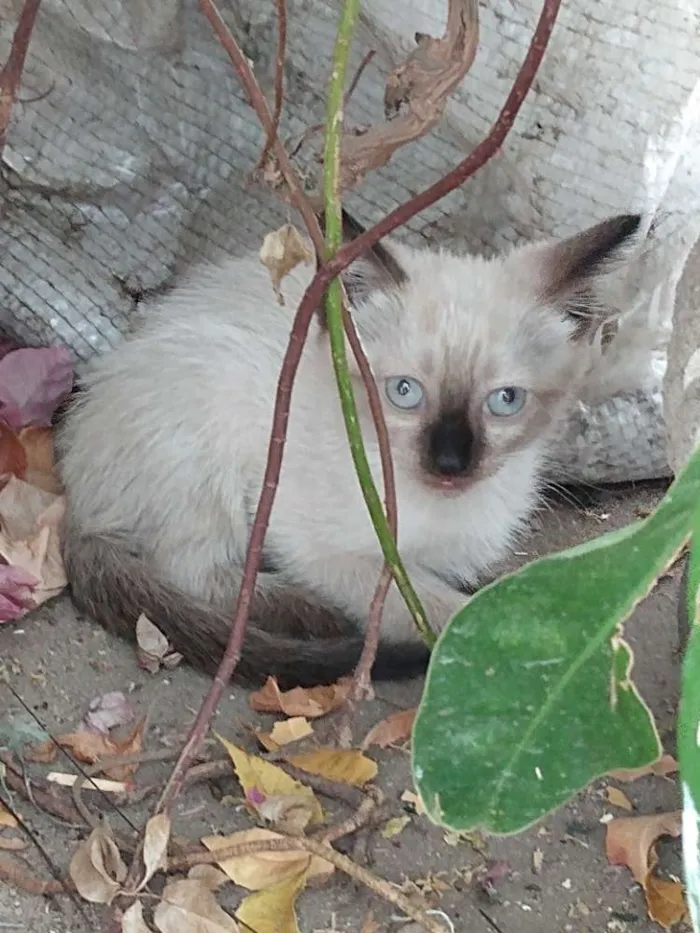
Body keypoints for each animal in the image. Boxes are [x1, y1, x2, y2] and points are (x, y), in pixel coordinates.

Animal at [56, 215, 640, 688]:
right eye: (404, 392)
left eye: (505, 400)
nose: (450, 463)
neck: (443, 512)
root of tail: (73, 496)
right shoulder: (321, 544)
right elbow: (447, 609)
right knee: (199, 578)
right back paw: (318, 614)